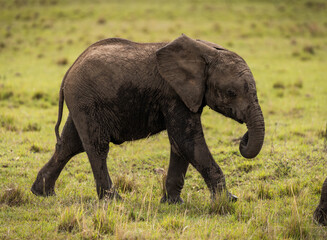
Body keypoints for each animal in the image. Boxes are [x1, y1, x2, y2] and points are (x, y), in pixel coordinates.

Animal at [31, 34, 266, 202]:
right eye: (231, 93)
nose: (244, 138)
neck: (205, 51)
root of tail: (69, 69)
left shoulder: (185, 96)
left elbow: (180, 145)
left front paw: (172, 203)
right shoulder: (173, 94)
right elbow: (187, 140)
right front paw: (229, 200)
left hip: (81, 103)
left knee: (69, 145)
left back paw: (42, 193)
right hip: (86, 101)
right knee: (97, 147)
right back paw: (113, 200)